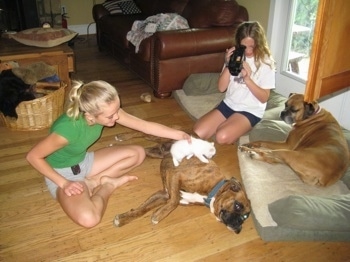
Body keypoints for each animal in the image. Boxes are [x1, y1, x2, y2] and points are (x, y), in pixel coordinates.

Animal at [113, 156, 250, 233]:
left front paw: (123, 218)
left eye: (245, 217)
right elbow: (171, 202)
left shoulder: (164, 195)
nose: (239, 229)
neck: (213, 191)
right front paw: (158, 215)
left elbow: (142, 209)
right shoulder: (176, 177)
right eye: (238, 206)